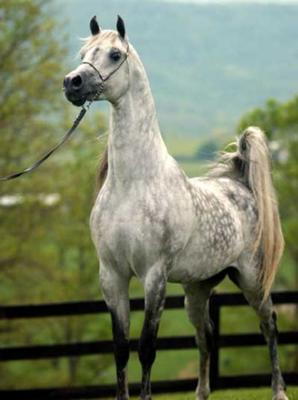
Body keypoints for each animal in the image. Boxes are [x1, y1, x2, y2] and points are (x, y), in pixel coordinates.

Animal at [64, 15, 288, 400]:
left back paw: (278, 391)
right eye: (83, 55)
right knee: (205, 335)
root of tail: (241, 185)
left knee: (269, 325)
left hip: (252, 280)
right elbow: (120, 349)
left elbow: (146, 349)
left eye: (114, 54)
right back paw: (201, 393)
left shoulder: (154, 276)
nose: (71, 82)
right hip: (197, 290)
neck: (134, 184)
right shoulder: (112, 274)